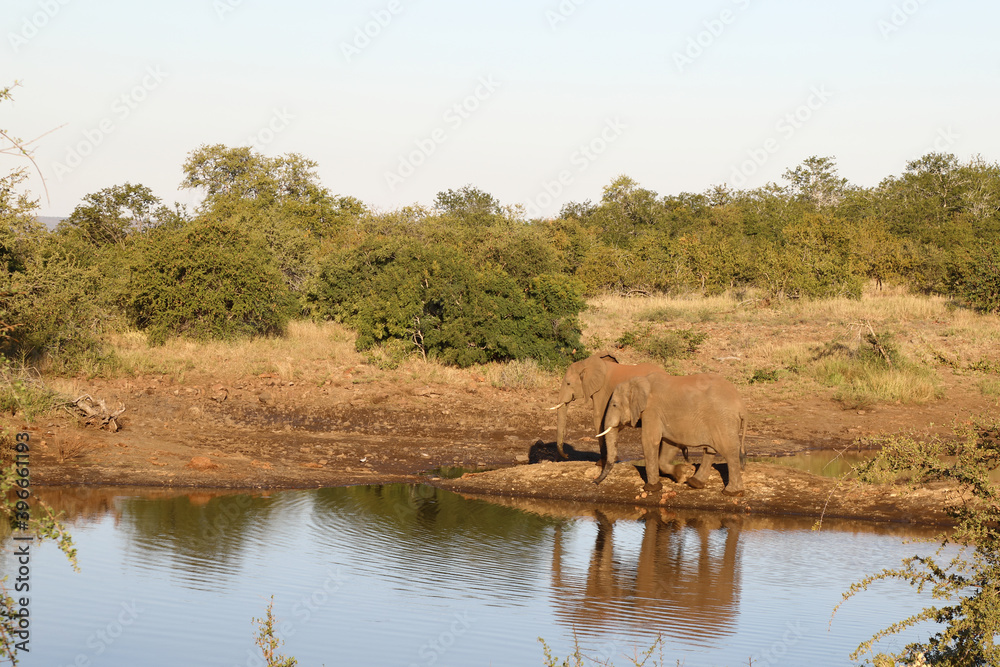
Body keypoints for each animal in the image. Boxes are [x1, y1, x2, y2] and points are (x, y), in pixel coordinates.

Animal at [594, 373, 748, 496]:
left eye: (614, 405)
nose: (595, 482)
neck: (639, 381)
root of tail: (741, 405)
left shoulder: (652, 410)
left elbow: (650, 440)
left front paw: (652, 488)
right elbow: (670, 444)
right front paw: (681, 475)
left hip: (723, 420)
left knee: (729, 451)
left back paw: (731, 492)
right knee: (710, 449)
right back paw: (694, 483)